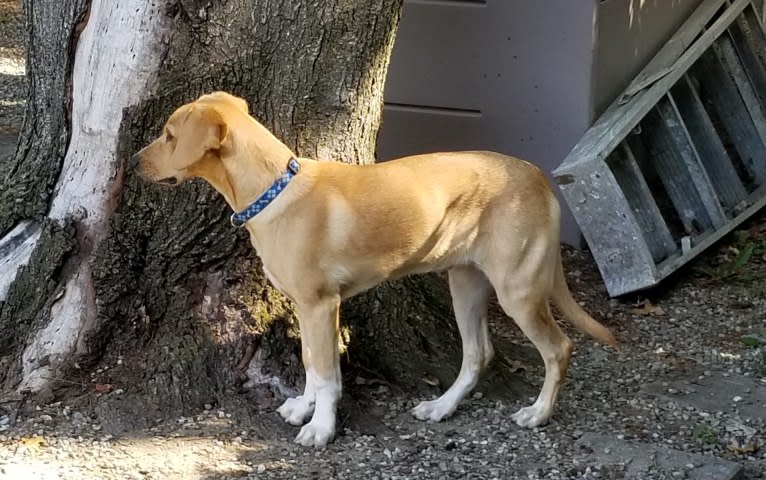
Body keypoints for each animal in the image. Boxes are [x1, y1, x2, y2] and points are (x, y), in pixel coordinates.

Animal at [132, 92, 616, 448]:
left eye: (170, 135)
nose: (134, 161)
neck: (274, 192)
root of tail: (538, 175)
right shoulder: (307, 309)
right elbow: (312, 364)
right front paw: (303, 409)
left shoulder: (320, 305)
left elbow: (327, 374)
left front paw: (320, 429)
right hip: (465, 283)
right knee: (478, 353)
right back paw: (441, 407)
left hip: (519, 289)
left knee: (559, 349)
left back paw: (538, 412)